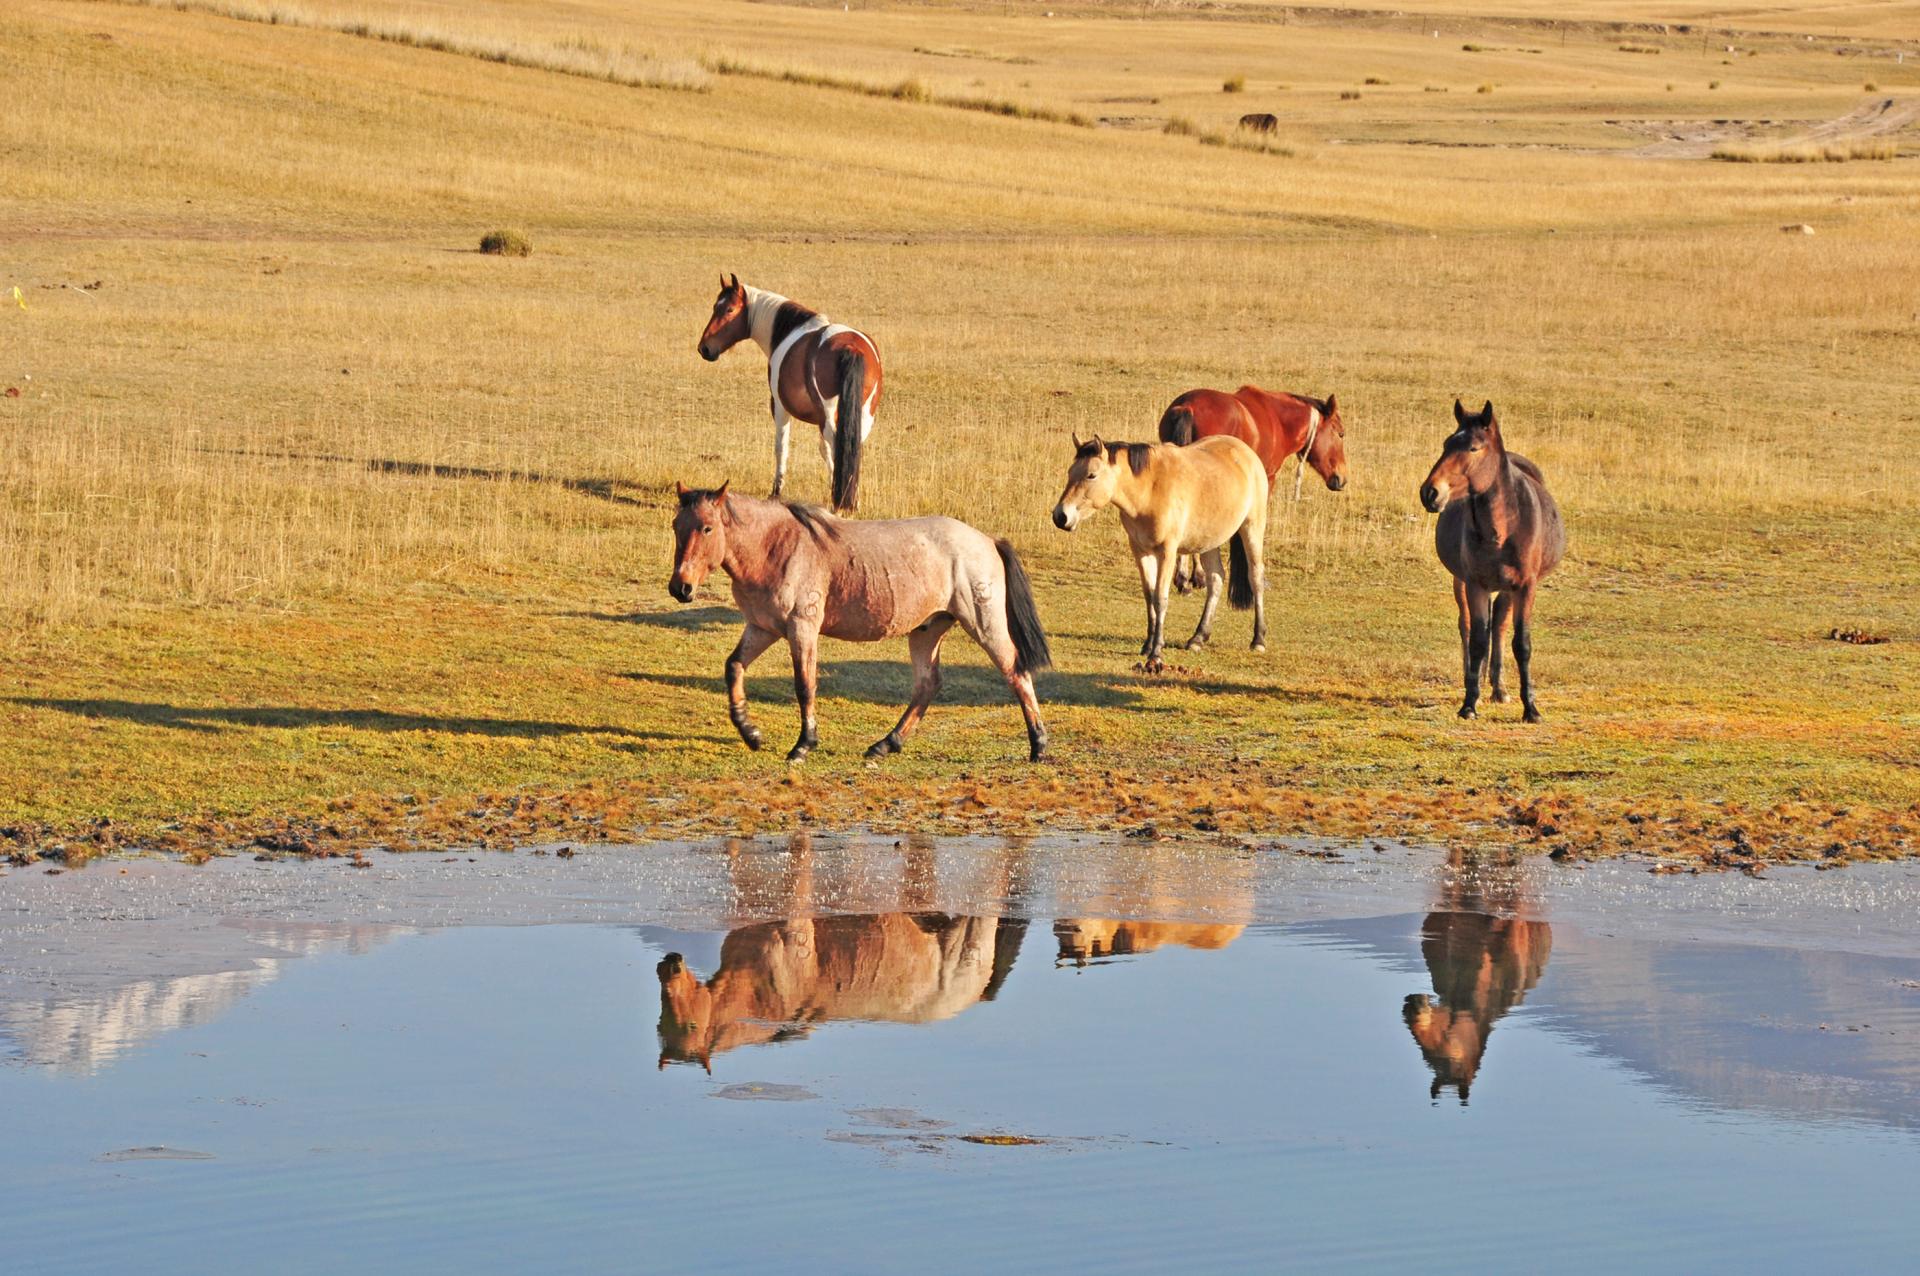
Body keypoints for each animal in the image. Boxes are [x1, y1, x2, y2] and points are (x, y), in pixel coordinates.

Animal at [664, 477, 1052, 756]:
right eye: (675, 525)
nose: (680, 587)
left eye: (707, 528)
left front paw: (803, 745)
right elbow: (733, 667)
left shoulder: (802, 628)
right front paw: (751, 733)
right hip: (927, 629)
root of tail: (988, 541)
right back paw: (886, 744)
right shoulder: (762, 627)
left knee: (1016, 671)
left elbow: (805, 685)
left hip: (984, 624)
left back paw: (1038, 745)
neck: (776, 548)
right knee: (928, 684)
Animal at [695, 276, 879, 510]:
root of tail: (850, 347)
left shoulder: (780, 406)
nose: (704, 348)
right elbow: (825, 450)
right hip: (864, 415)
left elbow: (781, 447)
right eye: (714, 307)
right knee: (853, 447)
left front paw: (776, 491)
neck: (788, 330)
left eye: (729, 309)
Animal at [1044, 433, 1267, 671]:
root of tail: (1244, 451)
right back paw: (1198, 638)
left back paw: (1258, 640)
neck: (1149, 490)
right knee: (1216, 580)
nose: (1060, 516)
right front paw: (1148, 645)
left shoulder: (1167, 551)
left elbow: (1160, 598)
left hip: (1252, 528)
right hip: (1208, 541)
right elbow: (1149, 595)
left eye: (1091, 475)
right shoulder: (1140, 551)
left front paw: (1156, 653)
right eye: (1070, 472)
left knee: (1255, 578)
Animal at [1152, 383, 1351, 590]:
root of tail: (1187, 407)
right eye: (1341, 433)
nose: (1342, 478)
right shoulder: (1267, 480)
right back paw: (1194, 576)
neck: (1278, 421)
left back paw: (1184, 577)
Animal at [1420, 401, 1566, 717]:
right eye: (1446, 444)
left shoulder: (1526, 586)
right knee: (1468, 626)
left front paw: (1531, 708)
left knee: (1498, 624)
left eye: (1474, 448)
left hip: (1509, 589)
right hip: (1461, 582)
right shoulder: (1476, 584)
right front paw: (1468, 704)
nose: (1430, 492)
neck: (1502, 529)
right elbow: (1477, 640)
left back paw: (1499, 688)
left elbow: (1521, 643)